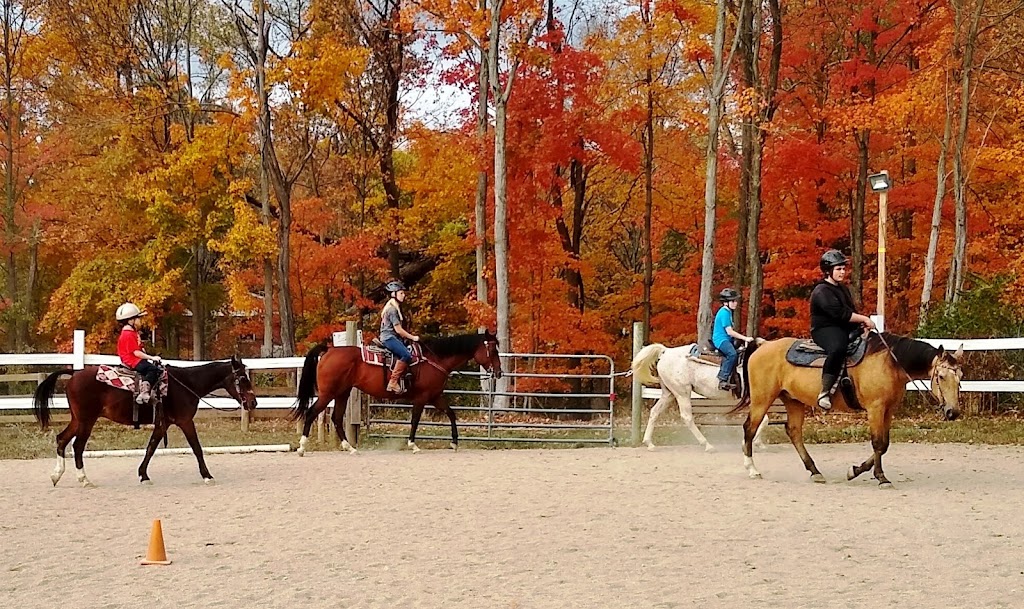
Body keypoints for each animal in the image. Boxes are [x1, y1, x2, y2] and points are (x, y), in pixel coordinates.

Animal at [33, 358, 258, 485]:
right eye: (242, 379)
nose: (253, 402)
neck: (186, 384)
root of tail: (74, 373)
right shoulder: (185, 421)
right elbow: (197, 448)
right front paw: (207, 476)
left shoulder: (163, 424)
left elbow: (151, 448)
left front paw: (143, 475)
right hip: (86, 420)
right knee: (77, 446)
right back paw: (84, 480)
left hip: (77, 420)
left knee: (62, 440)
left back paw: (56, 475)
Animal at [290, 331, 501, 454]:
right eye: (492, 350)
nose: (498, 372)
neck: (434, 359)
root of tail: (328, 351)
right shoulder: (422, 397)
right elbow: (415, 420)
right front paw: (413, 445)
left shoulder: (435, 396)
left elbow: (451, 414)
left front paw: (455, 443)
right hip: (328, 394)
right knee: (311, 413)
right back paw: (302, 447)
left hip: (343, 392)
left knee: (336, 418)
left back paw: (350, 448)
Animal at [630, 343, 770, 452]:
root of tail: (666, 352)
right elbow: (763, 419)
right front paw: (755, 441)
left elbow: (764, 419)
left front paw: (757, 442)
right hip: (682, 393)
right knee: (687, 417)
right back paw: (707, 445)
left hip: (668, 393)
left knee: (655, 412)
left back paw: (649, 443)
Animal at [741, 331, 962, 489]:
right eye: (941, 376)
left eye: (960, 376)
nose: (953, 412)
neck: (890, 363)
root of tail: (765, 345)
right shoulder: (875, 408)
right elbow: (878, 443)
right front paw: (881, 478)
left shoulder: (888, 410)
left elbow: (885, 444)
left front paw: (855, 470)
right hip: (762, 399)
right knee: (749, 428)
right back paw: (752, 469)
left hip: (793, 400)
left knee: (794, 431)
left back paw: (815, 471)